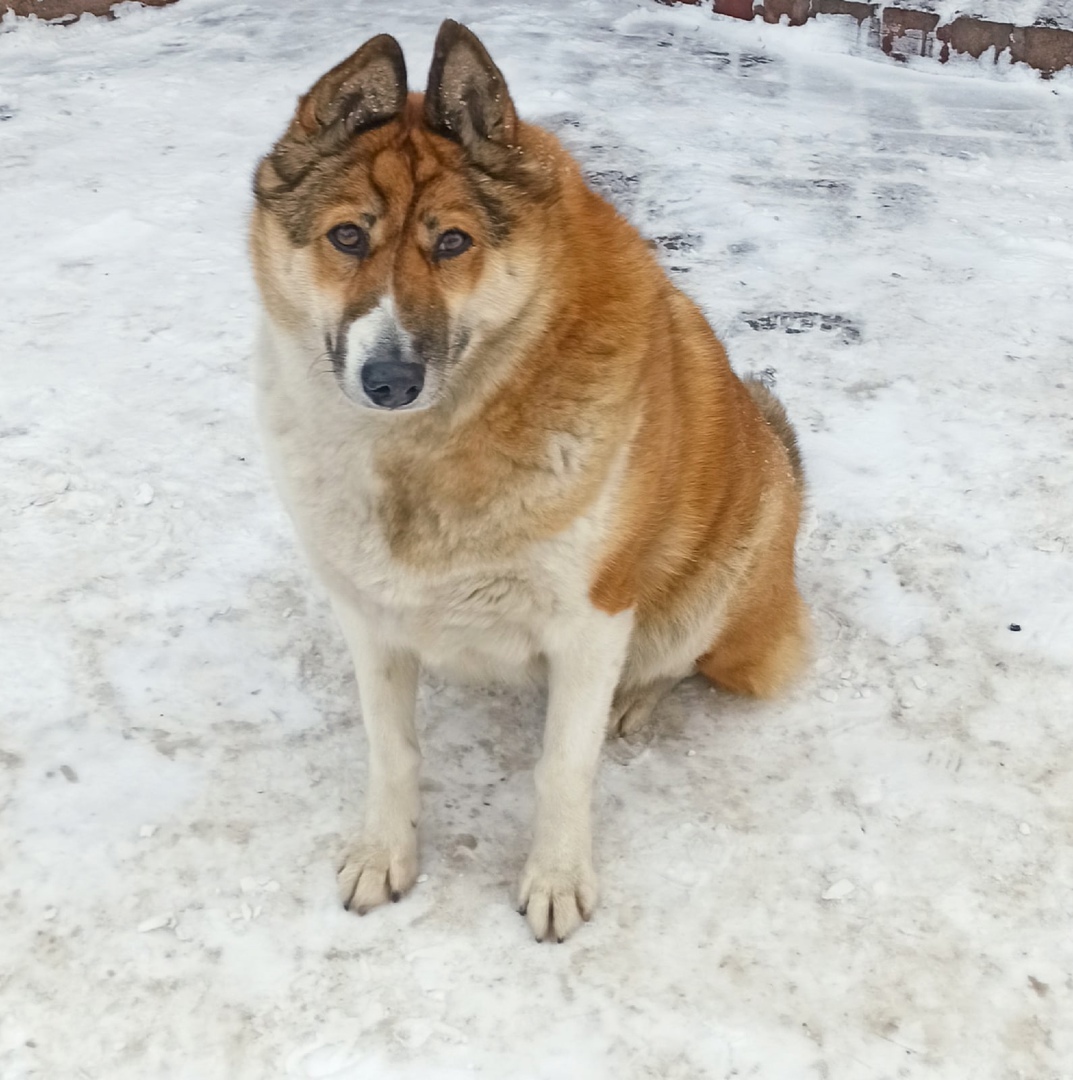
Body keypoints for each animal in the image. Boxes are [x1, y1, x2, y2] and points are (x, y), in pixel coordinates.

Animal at [249, 21, 803, 941]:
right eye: (347, 238)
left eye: (452, 242)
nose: (389, 380)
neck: (430, 447)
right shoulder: (369, 616)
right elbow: (392, 751)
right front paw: (385, 855)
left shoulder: (591, 622)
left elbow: (561, 768)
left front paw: (556, 879)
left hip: (725, 584)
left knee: (677, 661)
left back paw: (634, 700)